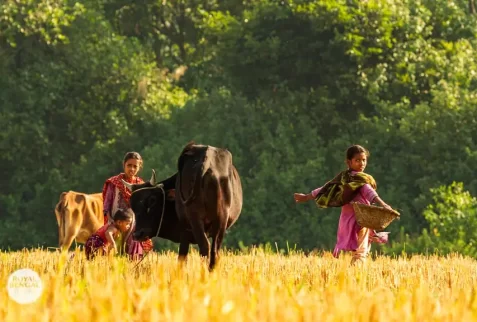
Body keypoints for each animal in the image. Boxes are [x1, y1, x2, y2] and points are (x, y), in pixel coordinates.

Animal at [122, 142, 242, 270]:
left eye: (152, 200)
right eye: (132, 205)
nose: (137, 234)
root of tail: (206, 159)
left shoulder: (184, 232)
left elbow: (181, 257)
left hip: (195, 219)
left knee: (205, 247)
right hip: (220, 219)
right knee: (213, 250)